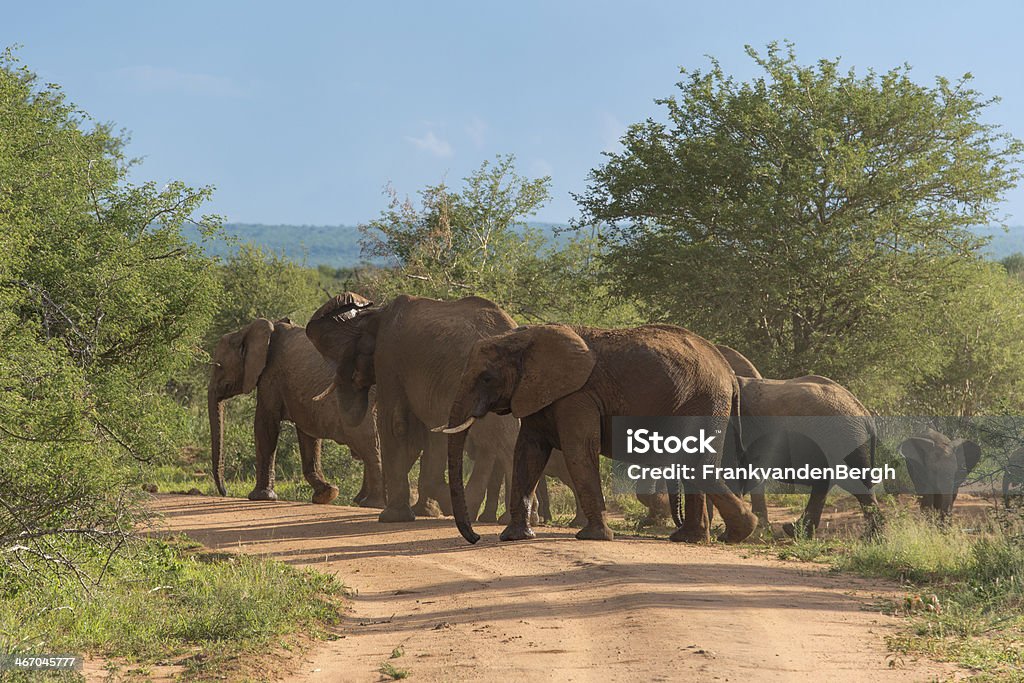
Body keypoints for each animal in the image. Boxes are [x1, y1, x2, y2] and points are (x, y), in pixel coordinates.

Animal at [205, 313, 382, 505]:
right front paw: (327, 494)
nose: (224, 492)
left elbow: (265, 425)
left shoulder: (270, 375)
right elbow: (307, 434)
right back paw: (364, 501)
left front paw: (261, 497)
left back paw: (372, 503)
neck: (246, 330)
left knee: (367, 441)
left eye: (219, 366)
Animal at [303, 294, 577, 524]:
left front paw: (393, 518)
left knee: (497, 441)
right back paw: (523, 519)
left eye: (340, 354)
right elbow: (430, 434)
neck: (376, 312)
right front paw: (430, 510)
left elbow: (396, 425)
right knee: (502, 442)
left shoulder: (389, 358)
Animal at [436, 325, 757, 544]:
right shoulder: (536, 393)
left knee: (695, 463)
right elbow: (528, 453)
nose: (476, 537)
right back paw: (694, 538)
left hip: (704, 401)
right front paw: (514, 537)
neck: (526, 338)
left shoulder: (577, 396)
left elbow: (578, 449)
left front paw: (592, 537)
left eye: (487, 378)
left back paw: (733, 533)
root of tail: (729, 372)